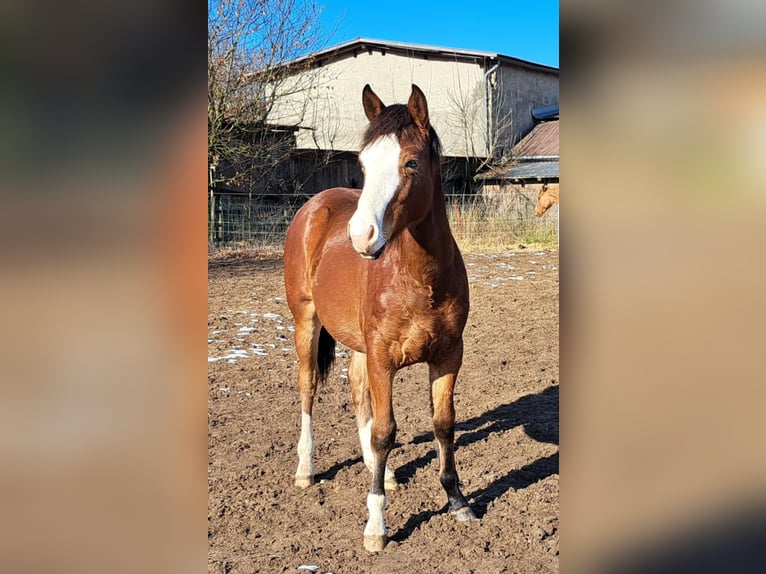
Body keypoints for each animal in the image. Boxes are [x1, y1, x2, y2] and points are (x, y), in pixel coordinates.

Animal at [284, 84, 476, 552]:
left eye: (411, 162)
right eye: (364, 164)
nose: (361, 236)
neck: (420, 278)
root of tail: (314, 207)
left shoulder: (448, 356)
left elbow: (443, 424)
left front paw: (457, 501)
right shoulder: (383, 359)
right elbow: (385, 430)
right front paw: (376, 525)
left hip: (358, 346)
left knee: (357, 393)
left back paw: (382, 471)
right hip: (306, 323)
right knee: (308, 388)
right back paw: (306, 470)